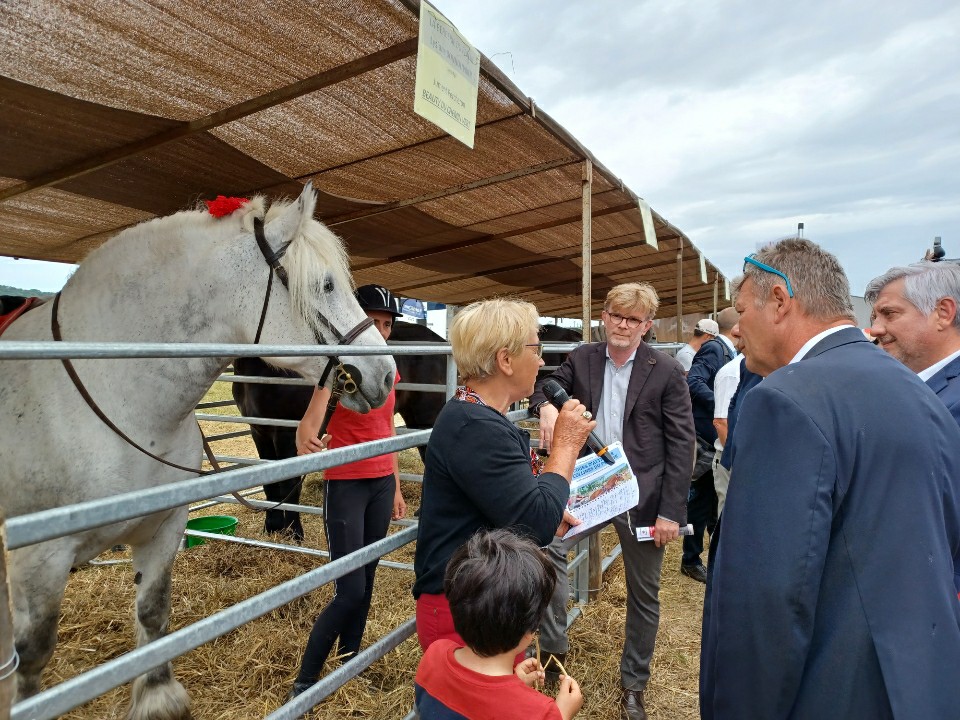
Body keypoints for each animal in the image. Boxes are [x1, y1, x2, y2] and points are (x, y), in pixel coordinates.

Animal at [0, 186, 394, 720]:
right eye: (327, 284)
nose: (387, 374)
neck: (117, 388)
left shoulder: (163, 528)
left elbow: (154, 615)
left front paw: (157, 700)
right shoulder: (39, 560)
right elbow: (35, 656)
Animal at [232, 320, 446, 540]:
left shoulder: (285, 433)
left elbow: (289, 483)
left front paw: (294, 532)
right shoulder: (260, 431)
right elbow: (270, 484)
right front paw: (271, 527)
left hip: (426, 416)